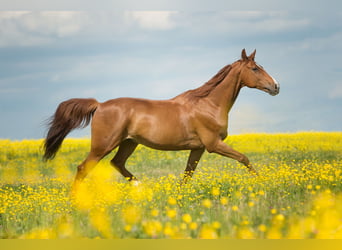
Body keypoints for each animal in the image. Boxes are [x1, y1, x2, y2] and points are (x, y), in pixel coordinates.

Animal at [42, 48, 280, 191]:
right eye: (254, 68)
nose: (276, 86)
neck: (208, 104)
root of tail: (99, 105)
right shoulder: (213, 144)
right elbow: (244, 158)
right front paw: (263, 182)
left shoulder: (199, 148)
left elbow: (188, 174)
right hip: (103, 145)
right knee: (83, 168)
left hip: (129, 143)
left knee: (117, 163)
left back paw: (139, 186)